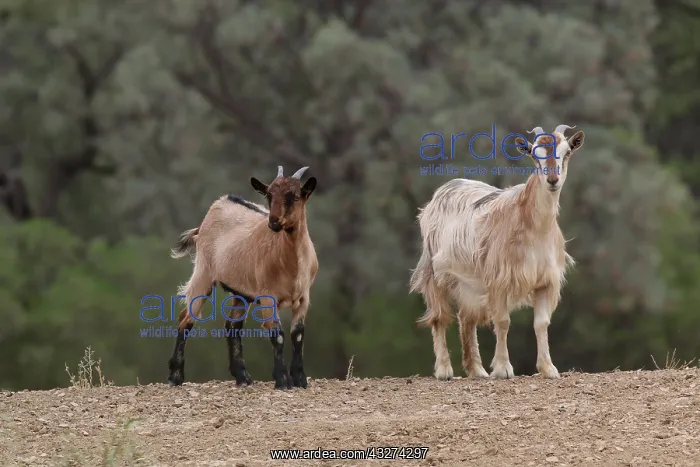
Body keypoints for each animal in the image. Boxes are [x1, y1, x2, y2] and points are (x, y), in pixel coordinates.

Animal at [167, 165, 318, 390]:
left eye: (295, 196)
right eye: (269, 195)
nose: (274, 222)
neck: (291, 265)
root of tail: (218, 204)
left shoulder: (303, 296)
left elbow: (297, 333)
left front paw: (300, 379)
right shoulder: (268, 295)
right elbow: (277, 334)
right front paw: (283, 380)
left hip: (241, 292)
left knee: (233, 326)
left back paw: (243, 377)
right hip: (204, 273)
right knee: (186, 318)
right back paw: (175, 376)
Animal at [409, 125, 585, 380]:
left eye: (567, 152)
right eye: (534, 154)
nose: (552, 180)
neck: (533, 228)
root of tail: (443, 189)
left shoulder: (545, 281)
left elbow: (541, 323)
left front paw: (548, 368)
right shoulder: (500, 278)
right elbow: (502, 321)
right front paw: (503, 368)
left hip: (469, 281)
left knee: (466, 318)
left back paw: (477, 370)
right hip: (434, 271)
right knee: (439, 317)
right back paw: (444, 370)